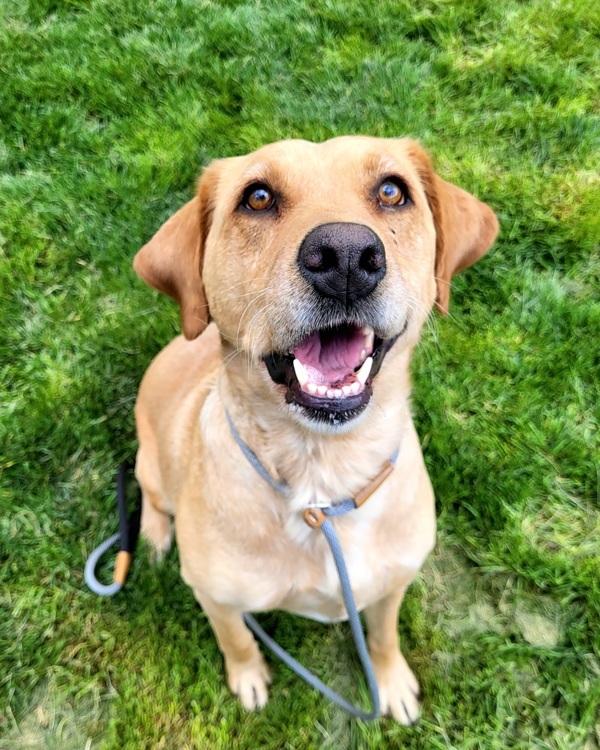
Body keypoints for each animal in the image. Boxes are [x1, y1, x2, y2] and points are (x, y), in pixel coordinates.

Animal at [134, 135, 500, 724]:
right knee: (149, 493)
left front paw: (391, 682)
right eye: (257, 197)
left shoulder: (393, 582)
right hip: (151, 465)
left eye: (392, 190)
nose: (345, 256)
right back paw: (152, 534)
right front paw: (249, 677)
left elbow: (384, 636)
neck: (321, 479)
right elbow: (237, 639)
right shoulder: (216, 598)